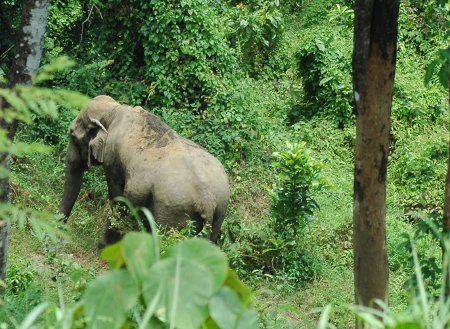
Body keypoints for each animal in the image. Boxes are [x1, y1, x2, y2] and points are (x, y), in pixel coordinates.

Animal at [58, 95, 230, 243]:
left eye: (72, 135)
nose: (61, 228)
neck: (115, 110)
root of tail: (207, 201)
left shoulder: (112, 159)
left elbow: (118, 196)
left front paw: (102, 246)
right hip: (220, 212)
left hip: (173, 211)